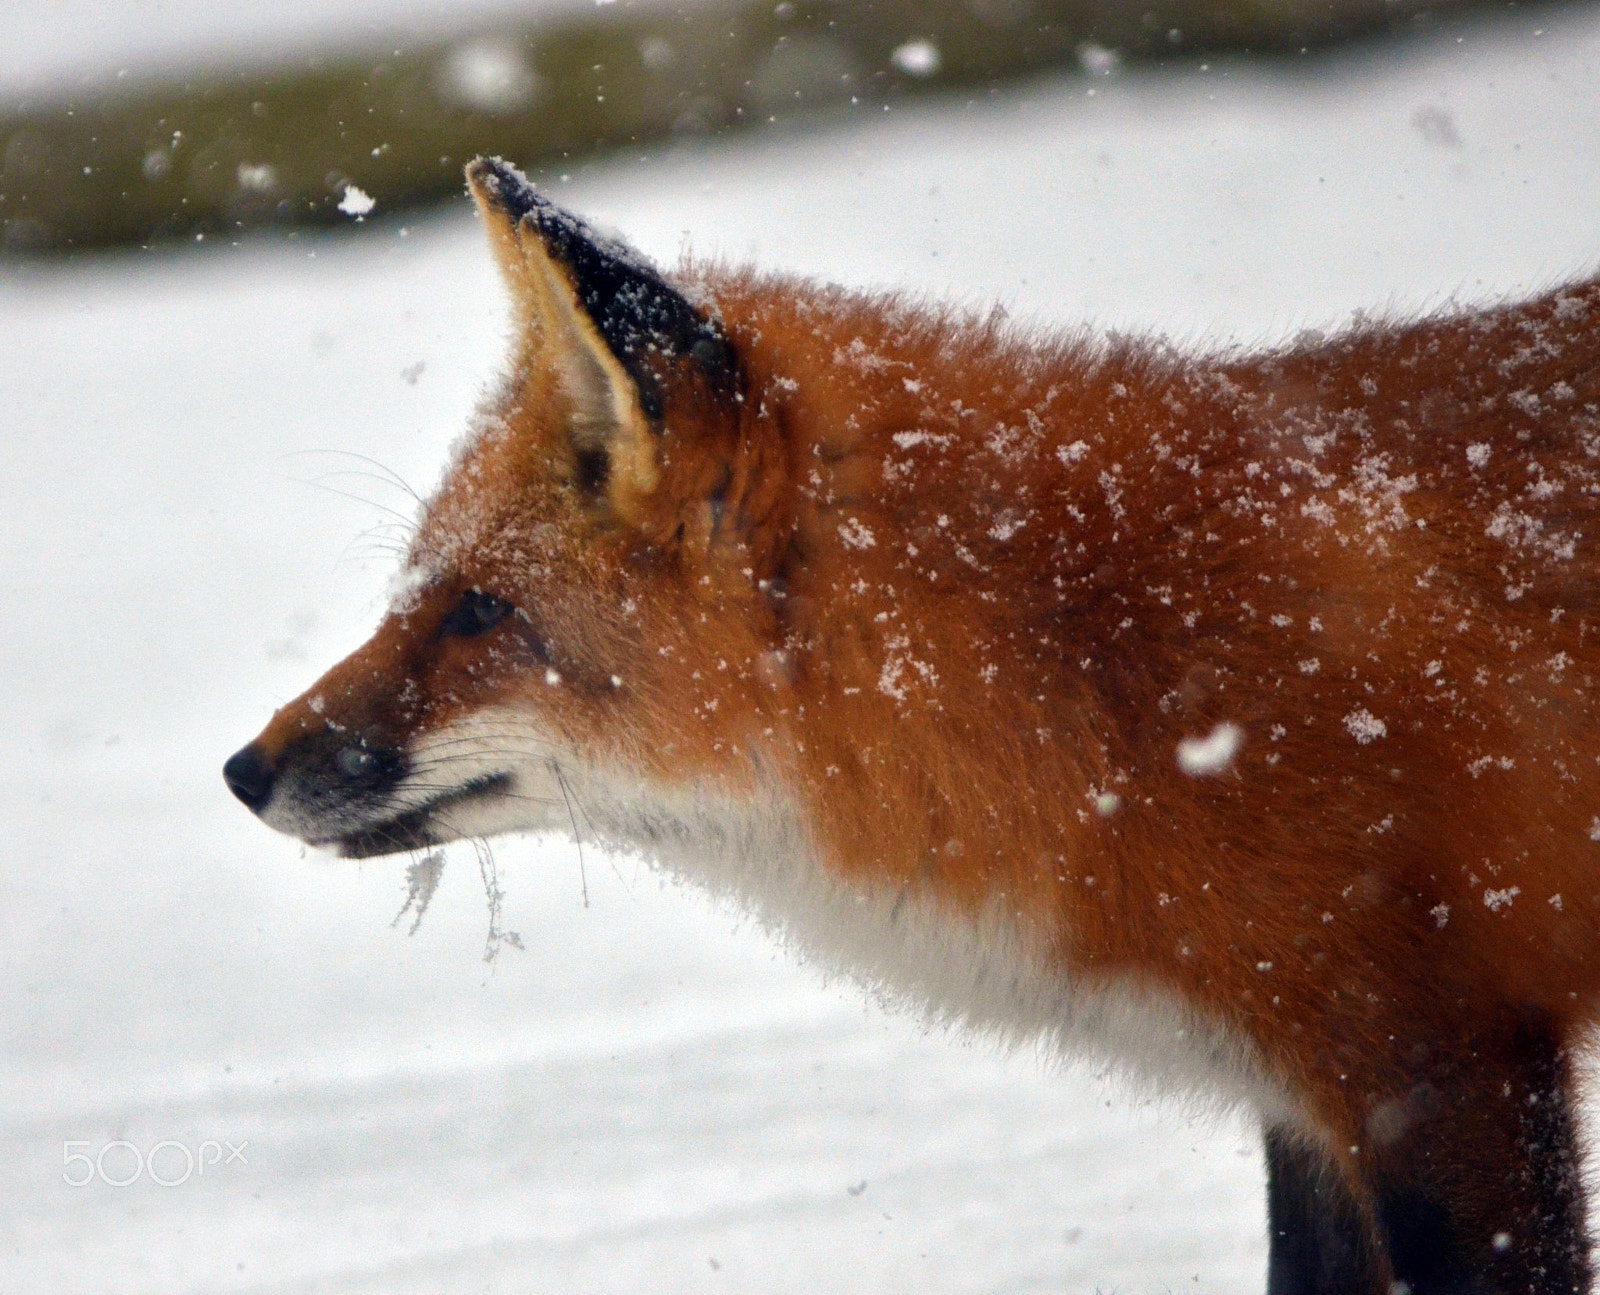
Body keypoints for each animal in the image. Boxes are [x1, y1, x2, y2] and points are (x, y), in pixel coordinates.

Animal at [222, 161, 1600, 1293]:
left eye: (482, 612)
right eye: (420, 588)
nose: (241, 771)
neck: (1114, 678)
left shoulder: (1434, 1071)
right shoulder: (1307, 1110)